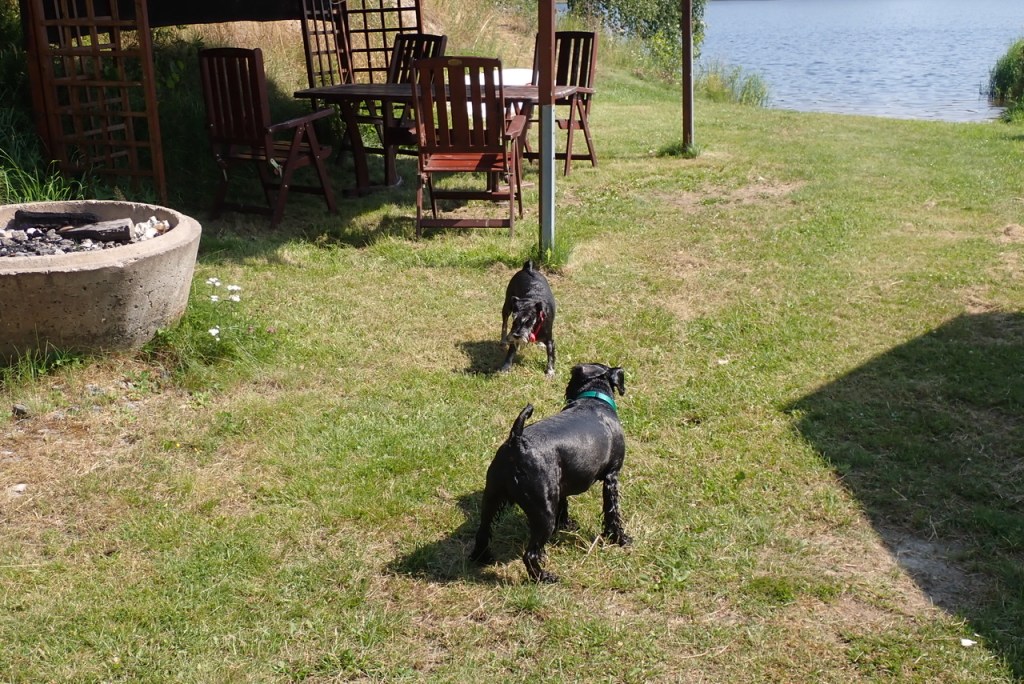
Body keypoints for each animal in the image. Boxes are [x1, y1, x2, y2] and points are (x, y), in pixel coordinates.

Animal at [470, 363, 631, 582]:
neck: (594, 398)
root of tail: (517, 442)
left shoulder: (560, 484)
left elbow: (564, 503)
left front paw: (565, 524)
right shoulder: (611, 477)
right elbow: (612, 511)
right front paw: (619, 538)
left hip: (492, 498)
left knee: (483, 531)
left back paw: (482, 558)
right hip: (543, 514)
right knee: (530, 554)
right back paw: (544, 577)